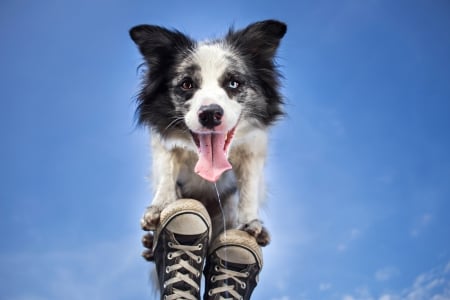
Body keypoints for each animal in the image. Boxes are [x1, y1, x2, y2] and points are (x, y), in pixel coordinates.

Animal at [130, 19, 286, 247]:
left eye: (233, 83)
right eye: (187, 84)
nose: (210, 114)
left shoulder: (253, 148)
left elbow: (248, 187)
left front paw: (250, 223)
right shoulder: (164, 143)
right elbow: (166, 172)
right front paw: (160, 206)